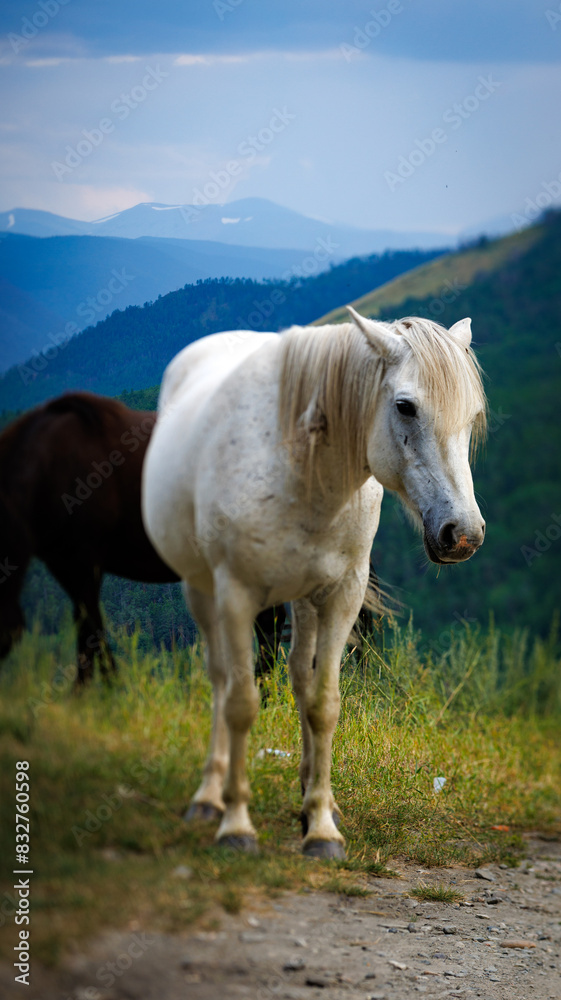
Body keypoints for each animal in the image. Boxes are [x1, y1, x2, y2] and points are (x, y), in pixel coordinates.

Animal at [142, 308, 487, 859]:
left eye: (472, 414)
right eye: (405, 407)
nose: (463, 534)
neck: (299, 469)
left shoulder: (342, 596)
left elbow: (323, 705)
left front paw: (322, 826)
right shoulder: (235, 597)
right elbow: (241, 703)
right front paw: (236, 826)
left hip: (304, 602)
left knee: (301, 679)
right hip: (201, 591)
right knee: (220, 680)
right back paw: (210, 798)